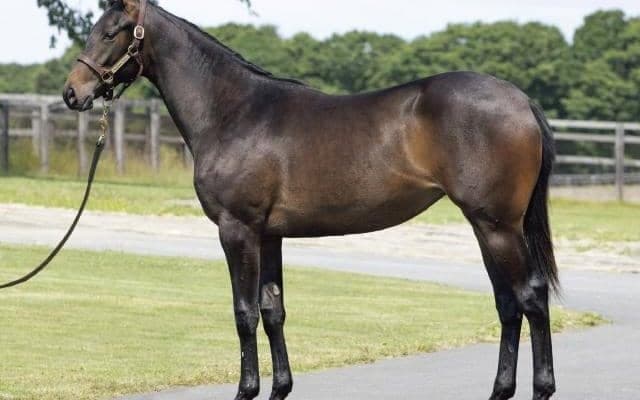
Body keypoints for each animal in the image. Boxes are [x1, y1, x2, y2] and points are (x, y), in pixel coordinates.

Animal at [63, 1, 558, 399]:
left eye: (111, 32)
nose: (73, 92)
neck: (234, 112)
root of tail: (521, 101)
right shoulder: (268, 236)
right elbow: (272, 311)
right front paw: (279, 388)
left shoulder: (237, 230)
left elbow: (244, 313)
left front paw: (246, 390)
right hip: (485, 226)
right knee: (507, 304)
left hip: (497, 225)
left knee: (530, 298)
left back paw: (541, 388)